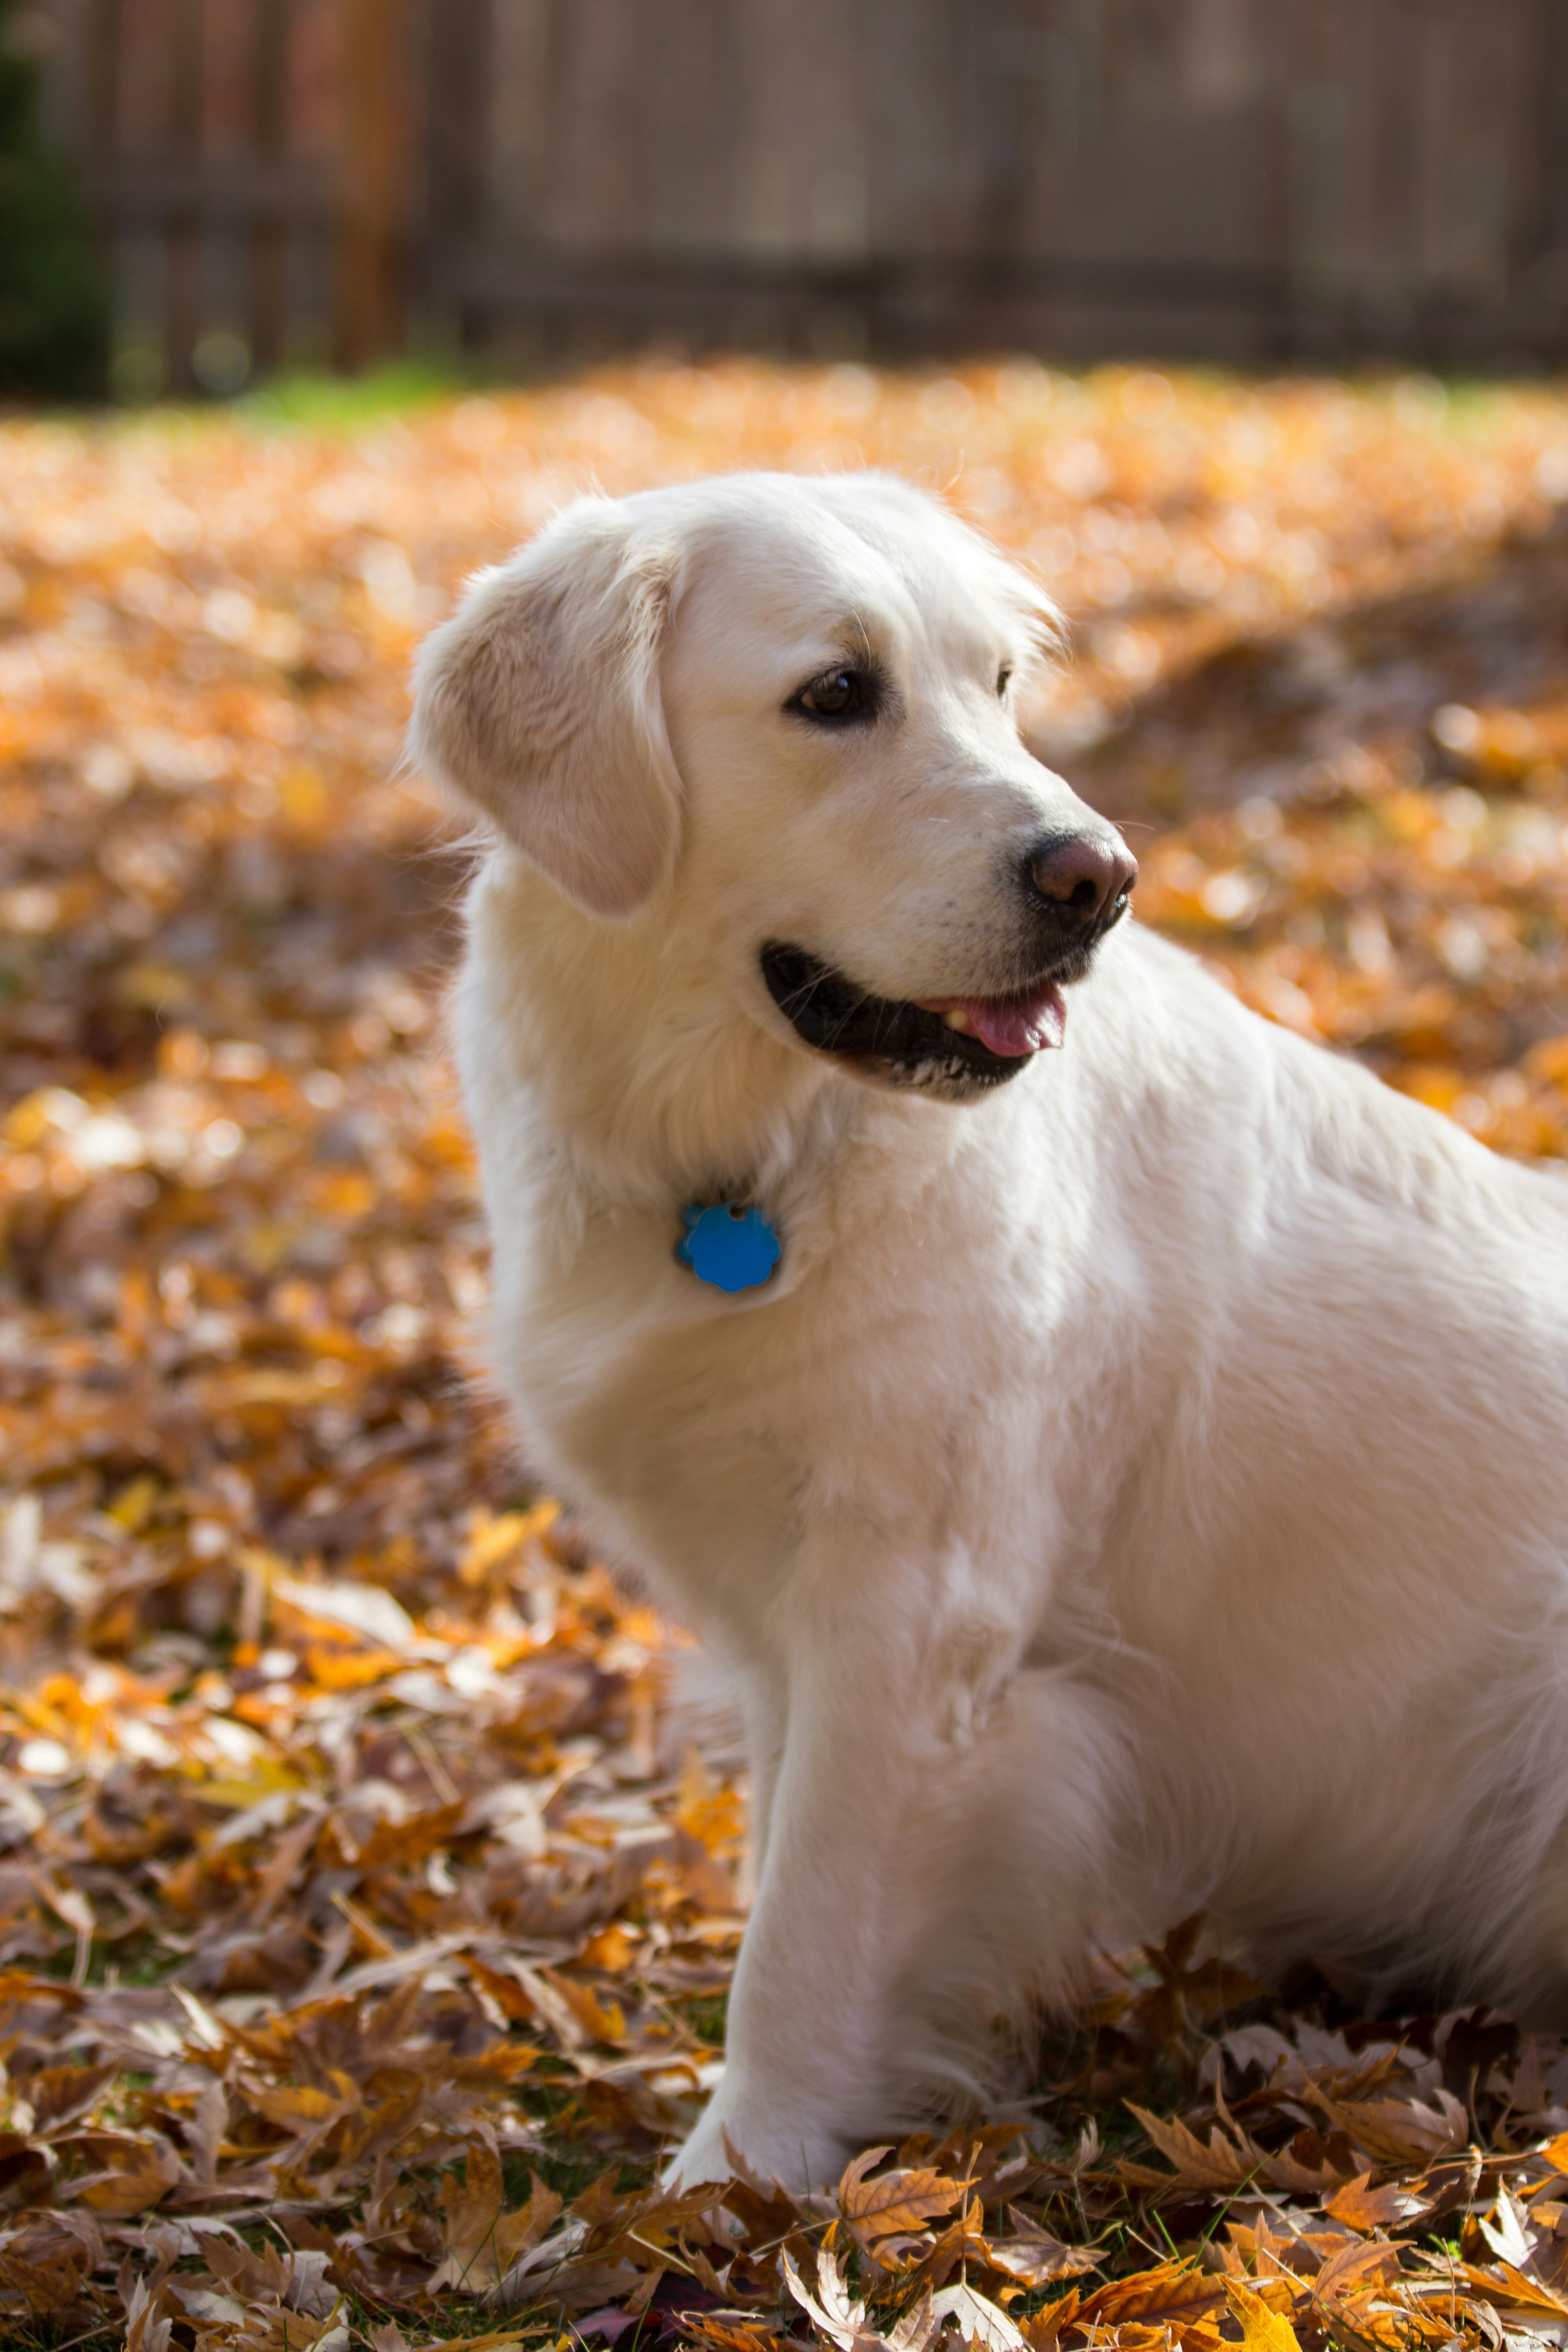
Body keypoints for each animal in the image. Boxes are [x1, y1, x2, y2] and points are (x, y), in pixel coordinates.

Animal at [413, 468, 1568, 2192]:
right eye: (835, 693)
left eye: (1000, 682)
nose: (1099, 877)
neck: (752, 1155)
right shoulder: (796, 1629)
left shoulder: (914, 1616)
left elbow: (806, 1933)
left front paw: (733, 2182)